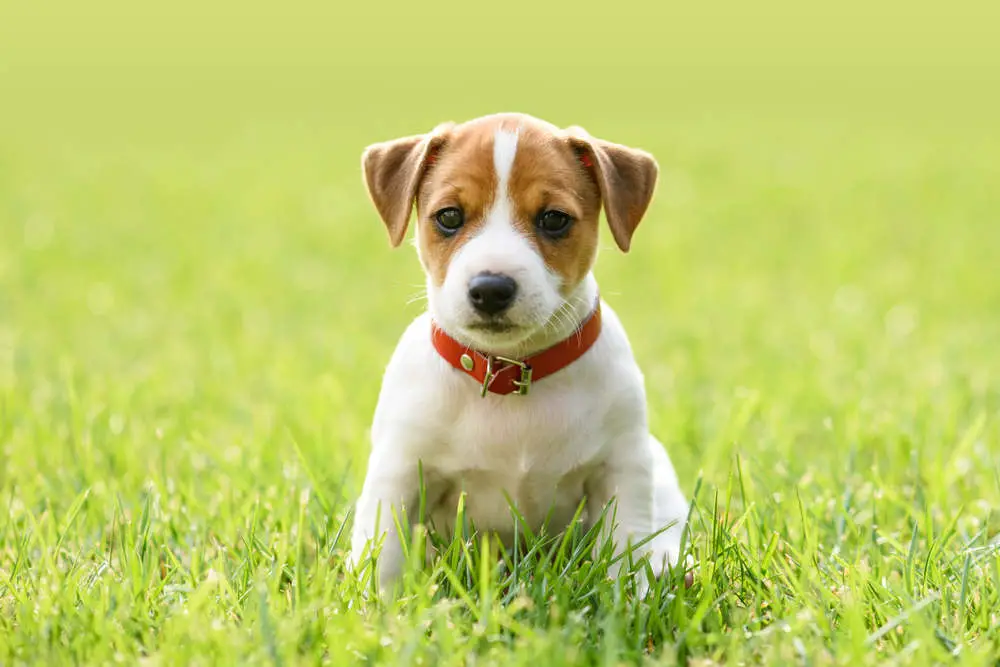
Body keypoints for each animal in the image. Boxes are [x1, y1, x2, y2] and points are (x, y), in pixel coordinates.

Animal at [350, 112, 688, 592]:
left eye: (554, 219)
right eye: (449, 216)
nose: (491, 289)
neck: (510, 371)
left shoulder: (622, 467)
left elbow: (627, 548)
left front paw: (629, 597)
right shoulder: (399, 472)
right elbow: (384, 554)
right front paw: (378, 605)